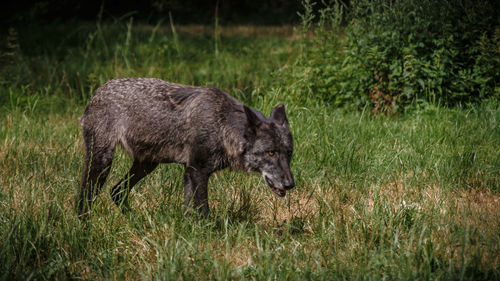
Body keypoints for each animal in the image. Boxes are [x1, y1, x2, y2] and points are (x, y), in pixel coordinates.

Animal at [77, 77, 292, 218]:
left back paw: (136, 222)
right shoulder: (197, 171)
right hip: (103, 163)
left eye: (289, 154)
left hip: (147, 165)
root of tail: (98, 92)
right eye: (270, 152)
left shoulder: (189, 172)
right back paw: (83, 227)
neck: (221, 125)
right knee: (84, 197)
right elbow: (203, 212)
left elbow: (189, 212)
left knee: (117, 192)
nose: (290, 184)